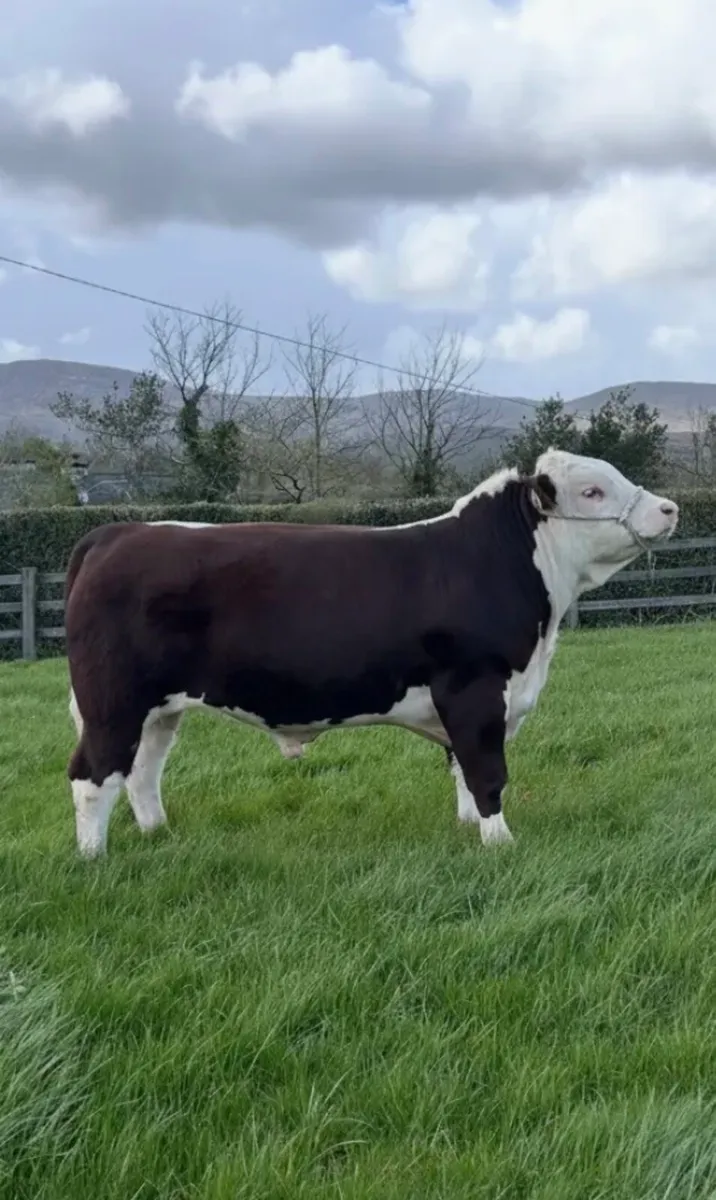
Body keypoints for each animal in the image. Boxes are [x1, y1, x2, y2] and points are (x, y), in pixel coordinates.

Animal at [63, 449, 678, 858]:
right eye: (593, 491)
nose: (669, 508)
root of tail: (118, 533)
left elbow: (460, 769)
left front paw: (466, 830)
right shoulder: (475, 689)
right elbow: (486, 771)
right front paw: (499, 842)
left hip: (158, 710)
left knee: (142, 773)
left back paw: (158, 834)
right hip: (111, 702)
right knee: (93, 776)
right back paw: (95, 859)